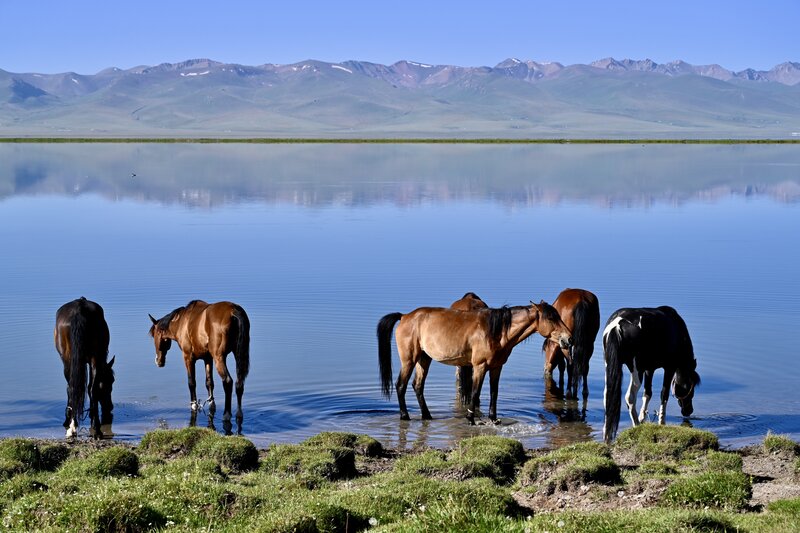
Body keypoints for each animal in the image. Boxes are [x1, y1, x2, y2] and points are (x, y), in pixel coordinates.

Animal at [54, 297, 115, 438]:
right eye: (111, 381)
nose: (110, 407)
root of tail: (80, 307)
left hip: (70, 359)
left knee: (73, 387)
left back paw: (74, 426)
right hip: (92, 358)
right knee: (90, 388)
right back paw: (95, 429)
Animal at [149, 300, 250, 428]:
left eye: (154, 335)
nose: (158, 361)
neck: (182, 322)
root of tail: (233, 310)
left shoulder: (188, 357)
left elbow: (191, 382)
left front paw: (194, 404)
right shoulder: (208, 358)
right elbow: (209, 383)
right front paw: (211, 402)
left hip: (219, 357)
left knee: (228, 381)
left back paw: (226, 414)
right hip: (237, 354)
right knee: (239, 383)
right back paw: (239, 414)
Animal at [377, 300, 572, 424]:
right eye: (550, 318)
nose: (569, 339)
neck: (496, 331)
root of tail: (405, 316)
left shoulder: (496, 367)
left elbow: (494, 392)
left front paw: (493, 419)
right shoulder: (479, 366)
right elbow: (475, 392)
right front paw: (471, 418)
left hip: (424, 359)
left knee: (417, 386)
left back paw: (427, 416)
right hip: (409, 360)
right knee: (401, 385)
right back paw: (405, 416)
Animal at [602, 305, 701, 443]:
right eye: (691, 386)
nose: (688, 411)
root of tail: (617, 324)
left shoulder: (649, 369)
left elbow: (647, 394)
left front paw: (643, 417)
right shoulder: (669, 368)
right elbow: (664, 394)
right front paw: (661, 422)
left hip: (609, 366)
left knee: (607, 396)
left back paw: (607, 434)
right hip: (636, 371)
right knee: (630, 397)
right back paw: (636, 426)